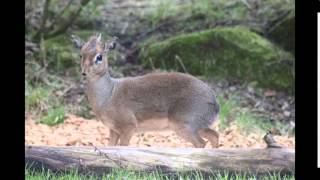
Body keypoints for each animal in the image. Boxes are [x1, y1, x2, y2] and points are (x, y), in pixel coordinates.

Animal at [70, 33, 220, 148]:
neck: (109, 95)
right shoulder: (113, 129)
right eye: (81, 55)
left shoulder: (128, 127)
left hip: (185, 125)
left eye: (99, 56)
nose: (84, 72)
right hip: (197, 126)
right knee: (215, 136)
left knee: (201, 143)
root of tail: (214, 101)